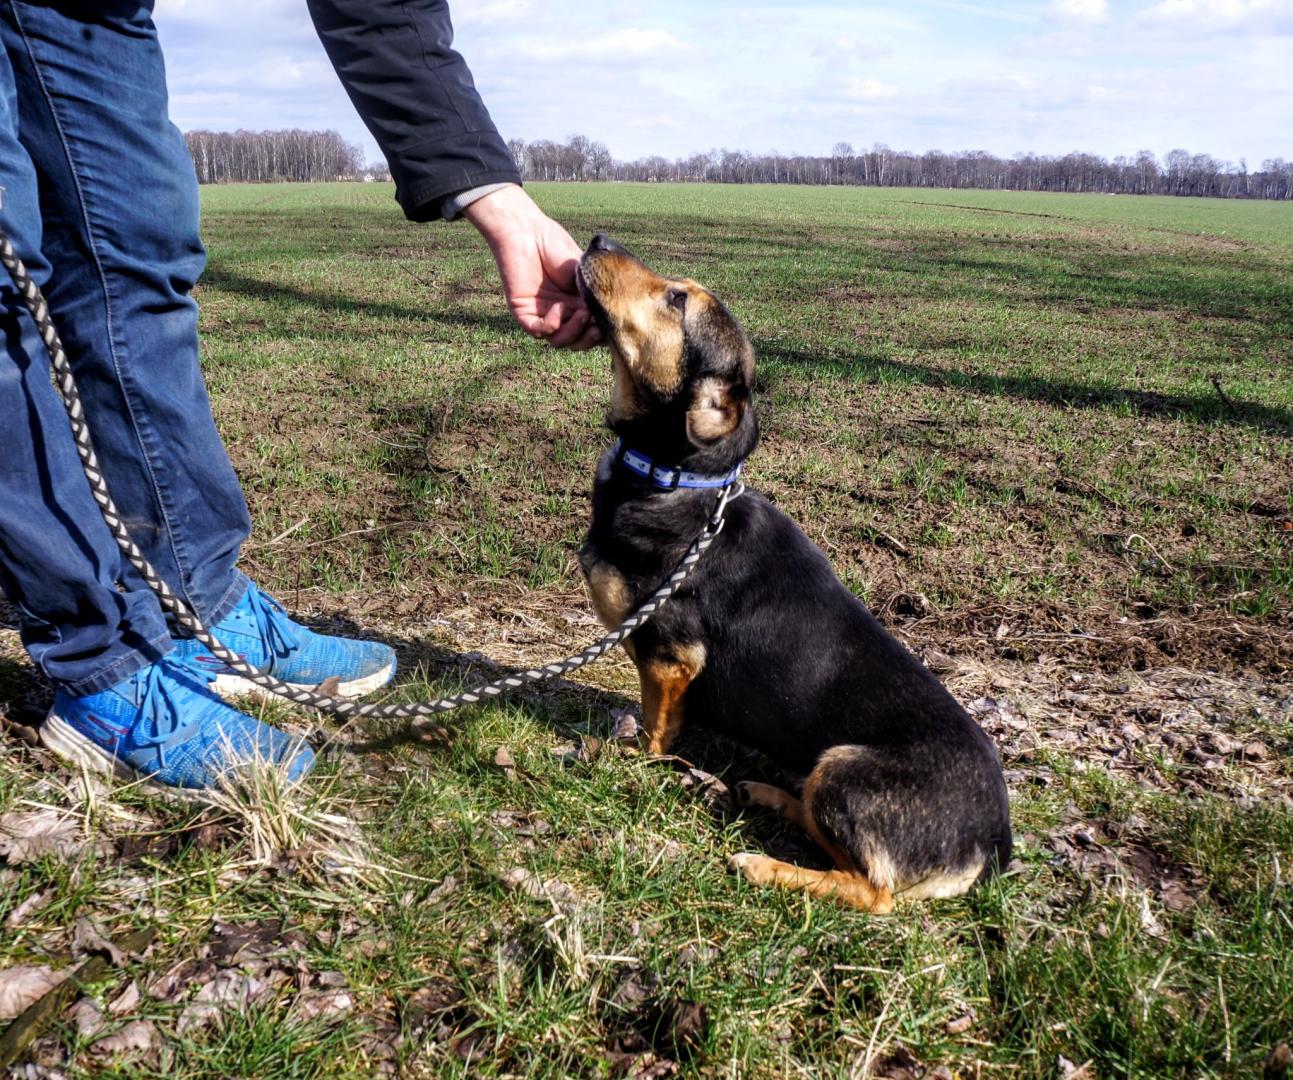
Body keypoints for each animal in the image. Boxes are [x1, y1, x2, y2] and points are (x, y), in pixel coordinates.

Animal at [575, 234, 1011, 913]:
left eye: (677, 299)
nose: (598, 240)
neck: (680, 483)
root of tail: (991, 842)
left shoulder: (672, 659)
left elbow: (655, 733)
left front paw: (632, 763)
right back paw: (773, 796)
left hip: (843, 771)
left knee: (872, 892)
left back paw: (765, 865)